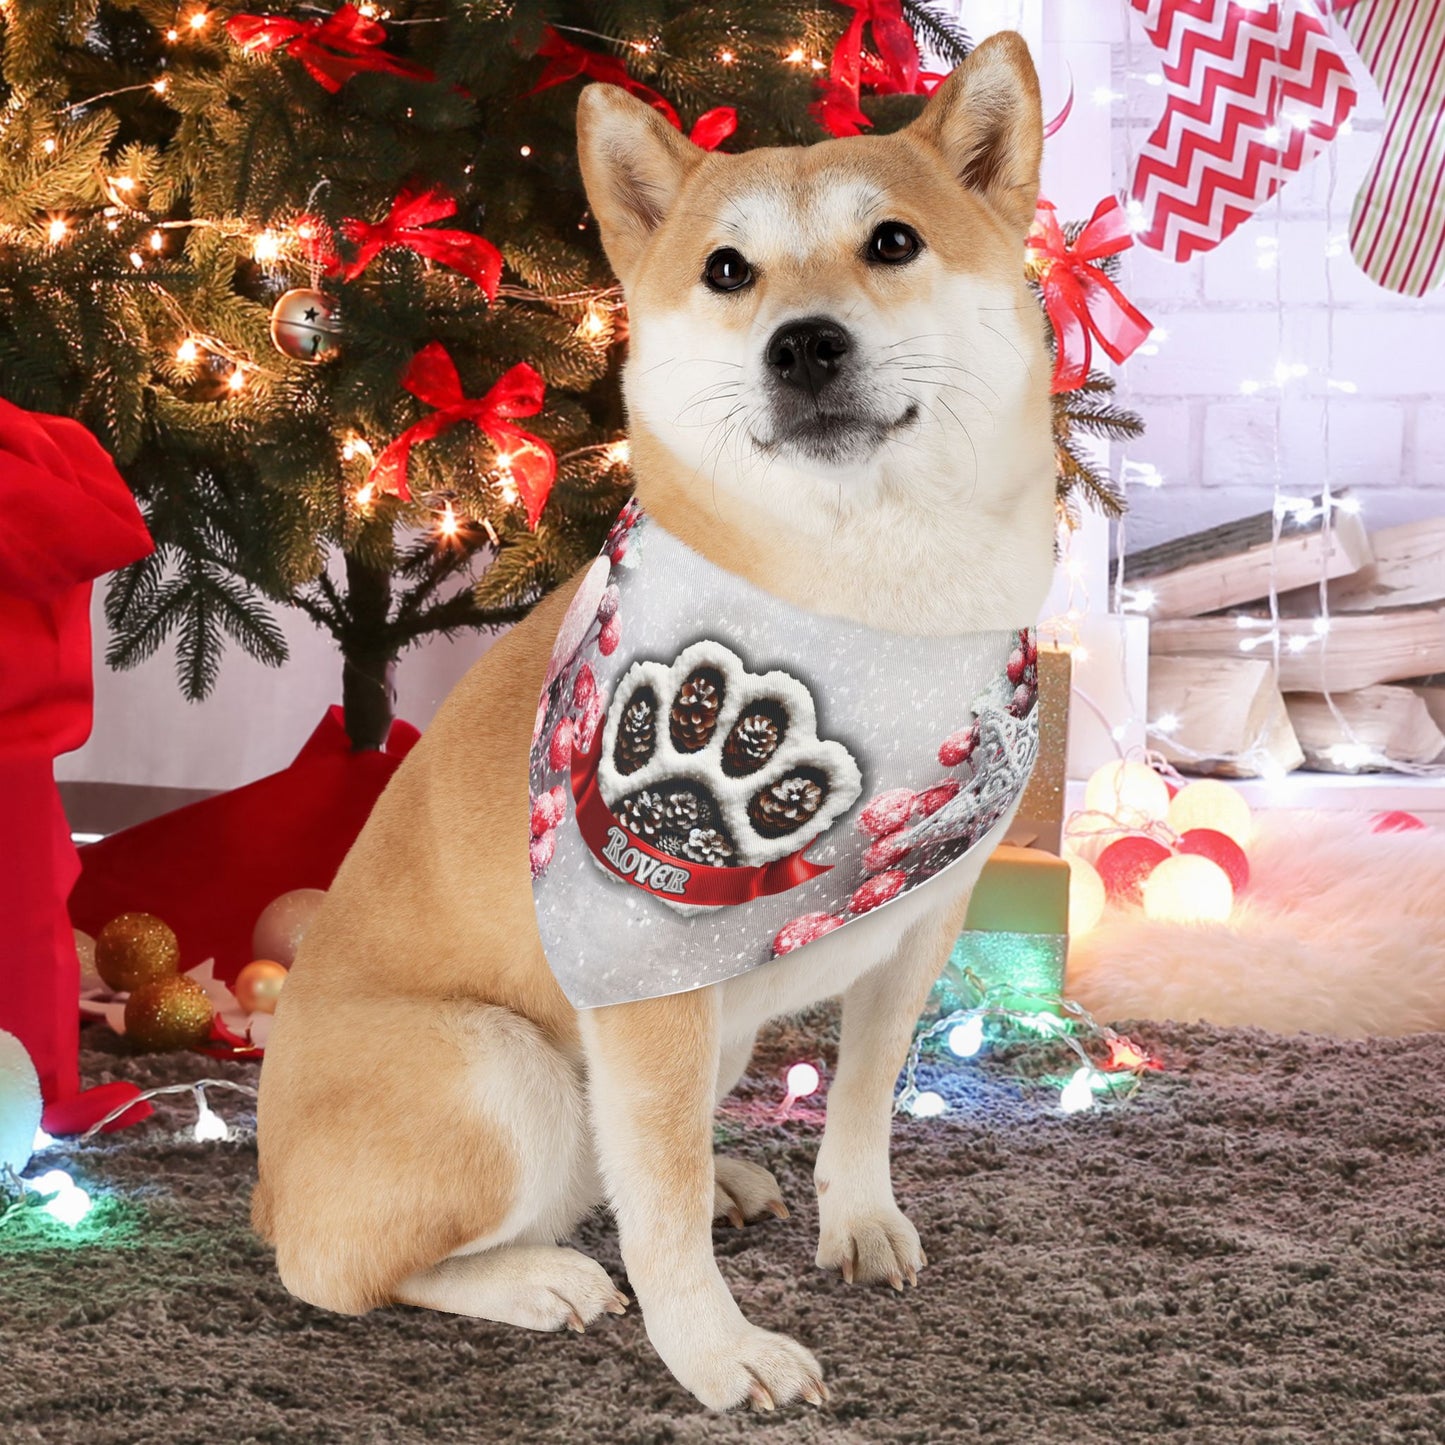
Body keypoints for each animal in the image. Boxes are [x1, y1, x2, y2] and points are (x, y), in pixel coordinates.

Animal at [254, 31, 1051, 1410]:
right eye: (727, 269)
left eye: (892, 241)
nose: (802, 344)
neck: (869, 606)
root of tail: (256, 1179)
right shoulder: (641, 972)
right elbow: (660, 1205)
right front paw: (716, 1351)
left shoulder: (917, 923)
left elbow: (858, 1097)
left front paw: (857, 1217)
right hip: (505, 1068)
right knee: (347, 1265)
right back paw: (533, 1275)